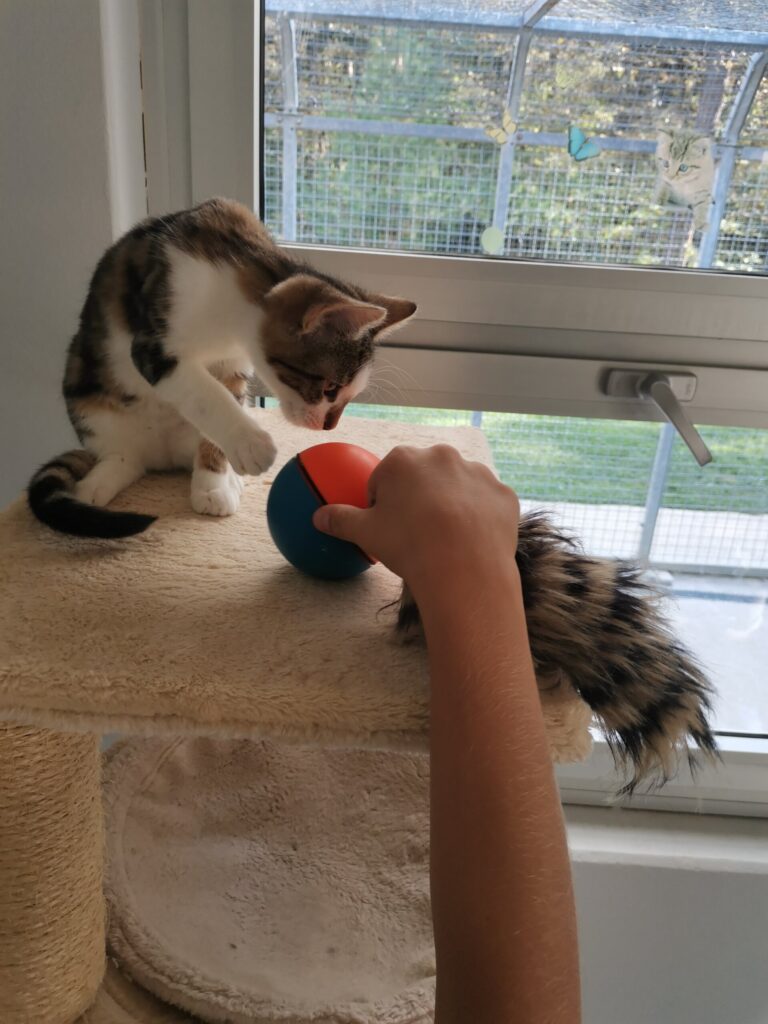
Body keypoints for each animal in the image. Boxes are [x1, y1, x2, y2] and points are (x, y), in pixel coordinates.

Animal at [27, 198, 417, 538]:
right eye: (331, 388)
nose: (328, 426)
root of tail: (162, 455)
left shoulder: (233, 366)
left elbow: (222, 400)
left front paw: (214, 484)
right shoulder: (154, 341)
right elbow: (206, 394)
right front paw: (251, 443)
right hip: (87, 392)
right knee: (124, 456)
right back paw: (93, 485)